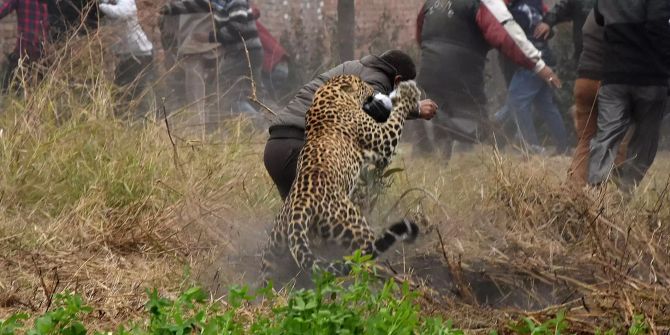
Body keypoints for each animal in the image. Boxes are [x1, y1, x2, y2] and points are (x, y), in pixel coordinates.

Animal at [262, 74, 422, 284]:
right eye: (363, 84)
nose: (374, 89)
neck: (328, 96)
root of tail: (300, 205)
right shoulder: (382, 140)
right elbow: (396, 117)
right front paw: (407, 94)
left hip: (274, 249)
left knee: (267, 276)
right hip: (355, 227)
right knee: (368, 260)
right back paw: (400, 279)